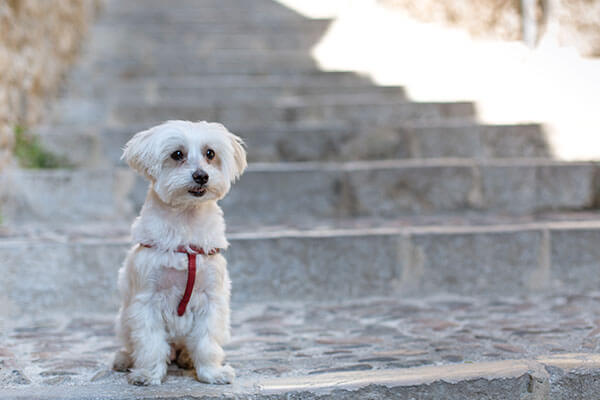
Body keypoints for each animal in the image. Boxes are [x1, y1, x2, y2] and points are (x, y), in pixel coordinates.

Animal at [112, 119, 246, 384]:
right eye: (177, 154)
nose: (201, 176)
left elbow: (206, 342)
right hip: (123, 321)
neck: (185, 221)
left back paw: (186, 358)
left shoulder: (210, 299)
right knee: (131, 345)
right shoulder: (147, 300)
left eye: (210, 153)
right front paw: (147, 374)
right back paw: (124, 360)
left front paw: (211, 373)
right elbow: (150, 343)